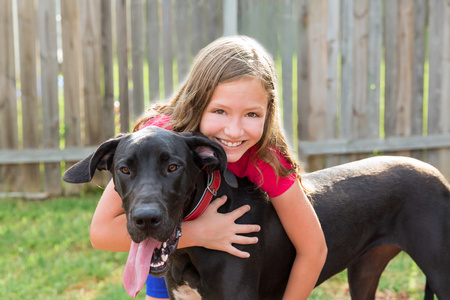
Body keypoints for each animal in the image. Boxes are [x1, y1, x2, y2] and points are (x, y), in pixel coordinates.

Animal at [63, 127, 450, 300]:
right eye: (124, 169)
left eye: (173, 167)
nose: (146, 220)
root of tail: (435, 172)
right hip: (364, 272)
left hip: (440, 273)